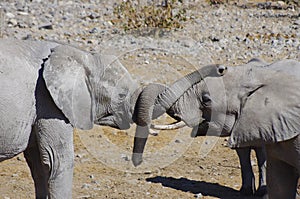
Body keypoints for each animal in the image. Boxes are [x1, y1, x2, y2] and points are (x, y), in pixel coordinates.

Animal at [0, 39, 225, 199]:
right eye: (121, 95)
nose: (222, 68)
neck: (78, 54)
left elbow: (38, 165)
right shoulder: (48, 103)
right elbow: (57, 161)